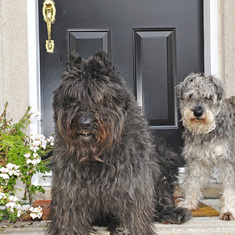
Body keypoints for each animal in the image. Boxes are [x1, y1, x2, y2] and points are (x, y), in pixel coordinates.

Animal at [46, 51, 191, 235]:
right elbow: (70, 212)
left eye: (100, 98)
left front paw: (131, 228)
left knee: (162, 195)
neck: (96, 152)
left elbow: (133, 207)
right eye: (73, 98)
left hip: (163, 158)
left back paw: (171, 212)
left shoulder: (131, 179)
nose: (85, 122)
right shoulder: (69, 184)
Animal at [177, 73, 235, 220]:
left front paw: (228, 210)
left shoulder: (228, 160)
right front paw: (188, 204)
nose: (197, 112)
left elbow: (229, 187)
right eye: (191, 96)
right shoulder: (197, 159)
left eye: (208, 97)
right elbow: (193, 182)